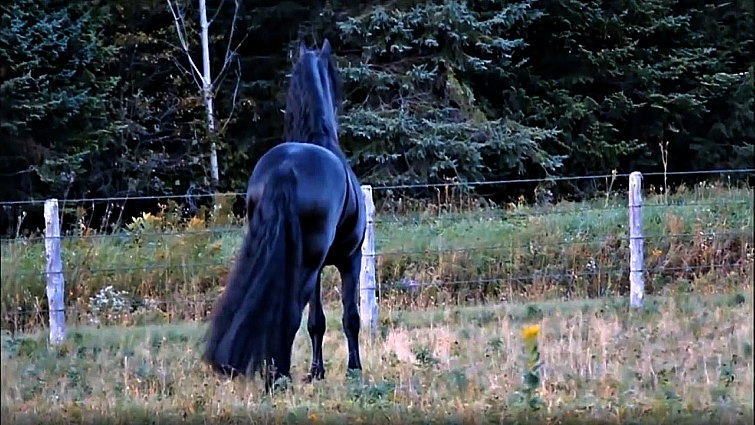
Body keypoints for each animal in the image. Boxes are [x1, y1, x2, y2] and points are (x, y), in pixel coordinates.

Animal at [202, 38, 366, 392]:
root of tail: (287, 167)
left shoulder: (318, 267)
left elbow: (317, 321)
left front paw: (316, 372)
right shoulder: (350, 259)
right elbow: (350, 317)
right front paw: (355, 371)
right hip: (310, 261)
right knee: (289, 313)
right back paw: (280, 377)